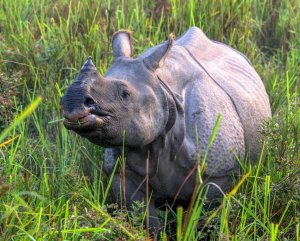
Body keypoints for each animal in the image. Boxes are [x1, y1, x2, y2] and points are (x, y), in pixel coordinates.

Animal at [61, 27, 272, 236]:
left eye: (125, 94)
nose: (72, 101)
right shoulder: (121, 172)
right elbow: (146, 219)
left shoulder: (219, 172)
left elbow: (204, 218)